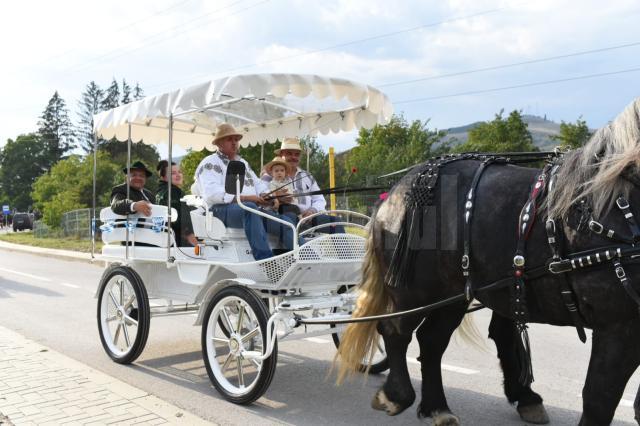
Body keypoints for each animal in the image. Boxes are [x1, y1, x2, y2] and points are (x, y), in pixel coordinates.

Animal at [338, 99, 640, 426]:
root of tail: (397, 189)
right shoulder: (619, 326)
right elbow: (600, 398)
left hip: (454, 293)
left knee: (431, 341)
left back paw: (437, 406)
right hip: (414, 292)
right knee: (395, 331)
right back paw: (396, 395)